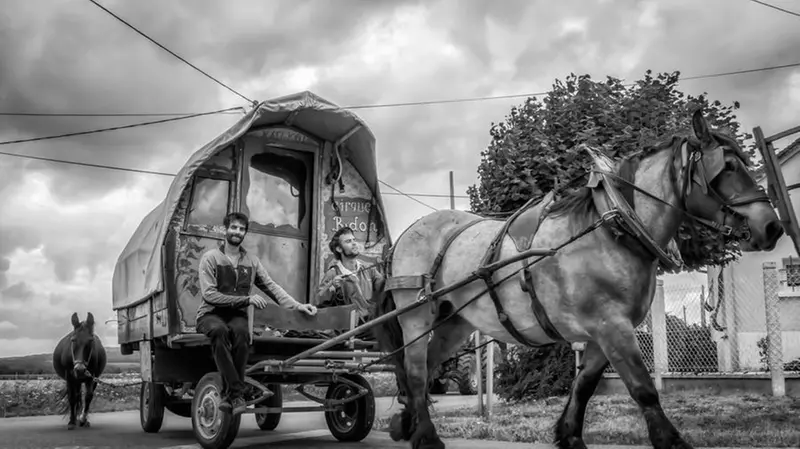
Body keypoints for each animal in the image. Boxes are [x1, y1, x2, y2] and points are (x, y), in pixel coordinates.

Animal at [372, 109, 784, 448]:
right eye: (727, 167)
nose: (773, 226)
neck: (613, 227)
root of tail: (407, 233)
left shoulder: (605, 331)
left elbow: (583, 385)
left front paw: (569, 435)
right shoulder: (611, 326)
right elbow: (643, 388)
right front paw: (671, 442)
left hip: (453, 322)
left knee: (424, 367)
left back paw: (407, 422)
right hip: (415, 317)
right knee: (414, 370)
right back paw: (425, 436)